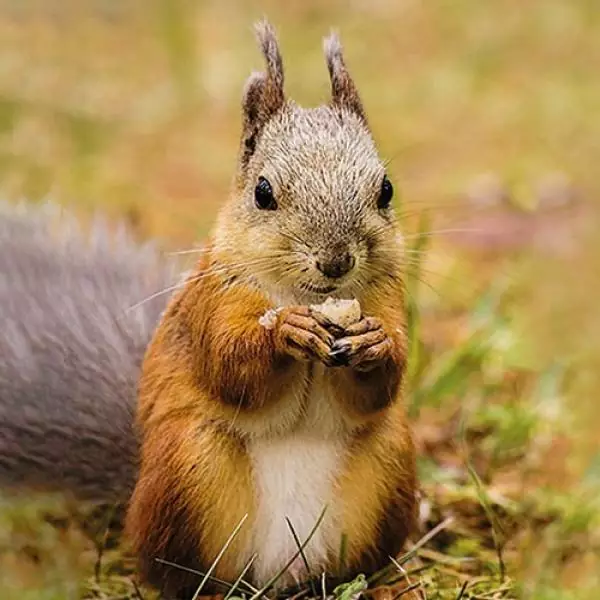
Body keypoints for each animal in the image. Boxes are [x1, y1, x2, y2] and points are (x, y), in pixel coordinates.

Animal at [0, 18, 414, 600]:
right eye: (263, 192)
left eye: (386, 189)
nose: (336, 261)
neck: (310, 297)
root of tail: (278, 573)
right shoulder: (213, 301)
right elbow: (228, 367)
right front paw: (283, 332)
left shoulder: (386, 298)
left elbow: (382, 386)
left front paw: (374, 343)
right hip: (187, 465)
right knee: (176, 571)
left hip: (389, 462)